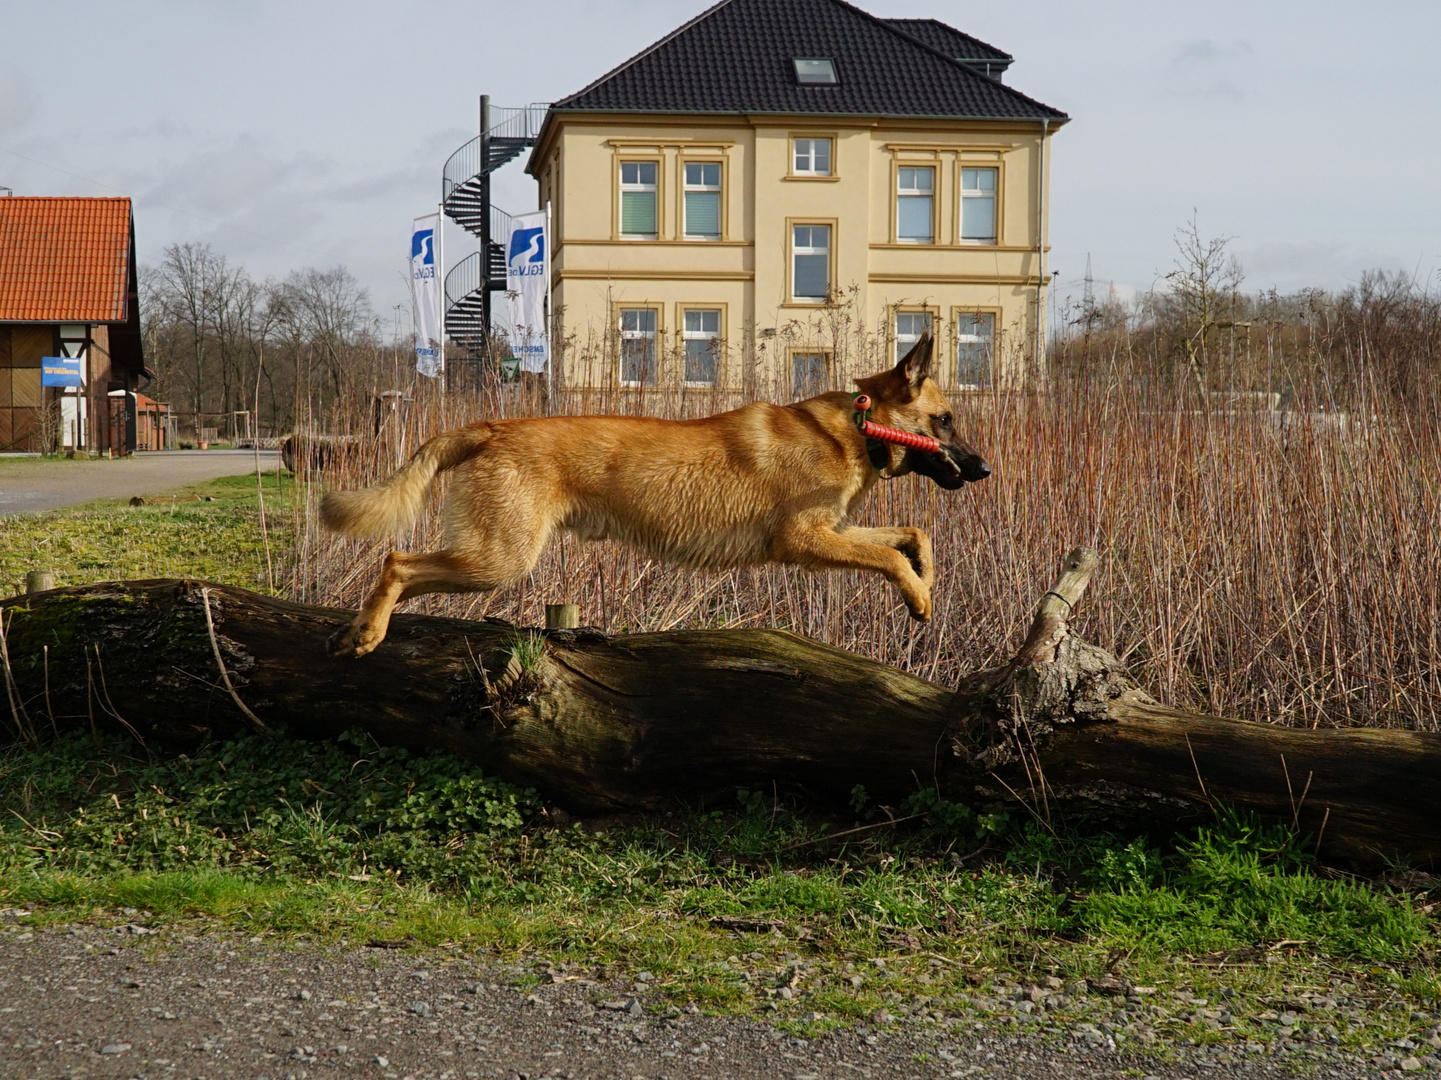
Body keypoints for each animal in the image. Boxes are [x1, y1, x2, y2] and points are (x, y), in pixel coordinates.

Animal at [321, 334, 985, 657]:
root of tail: (492, 426)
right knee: (397, 562)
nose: (982, 470)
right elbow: (890, 555)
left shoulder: (832, 532)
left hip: (486, 558)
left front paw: (925, 578)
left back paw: (359, 629)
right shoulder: (805, 540)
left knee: (401, 568)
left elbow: (911, 536)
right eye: (946, 420)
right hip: (497, 560)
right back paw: (370, 633)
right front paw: (920, 596)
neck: (858, 424)